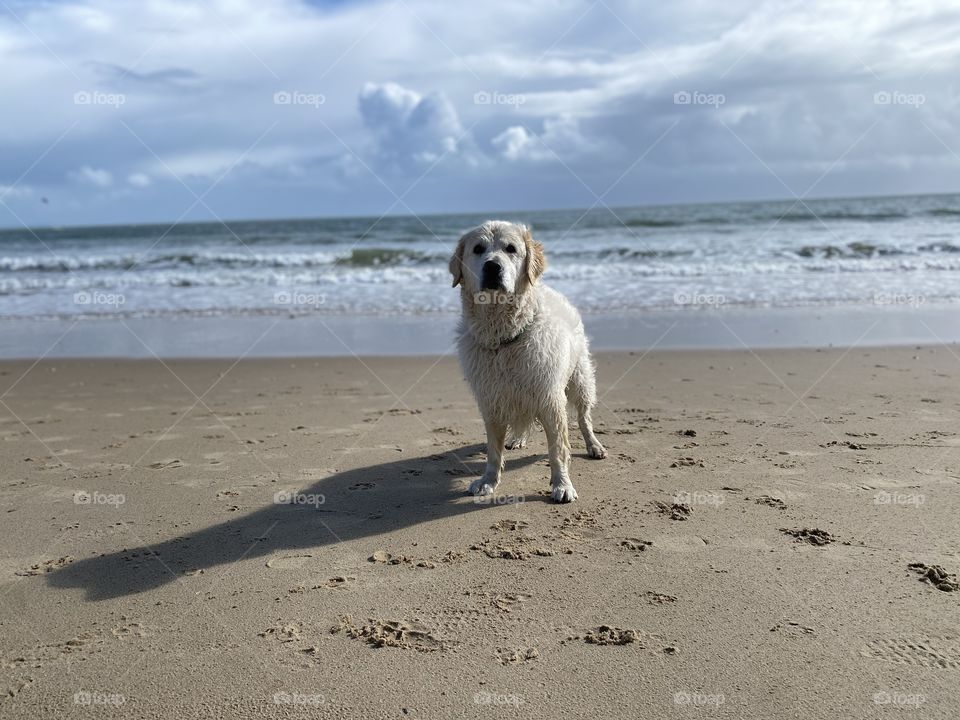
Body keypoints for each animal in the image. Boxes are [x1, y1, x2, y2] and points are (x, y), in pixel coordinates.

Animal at [450, 219, 608, 500]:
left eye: (510, 249)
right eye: (478, 249)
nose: (492, 266)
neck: (504, 338)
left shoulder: (550, 397)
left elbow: (558, 449)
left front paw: (562, 484)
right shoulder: (491, 399)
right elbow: (493, 451)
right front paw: (488, 480)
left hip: (580, 378)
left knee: (583, 417)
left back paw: (594, 445)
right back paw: (517, 439)